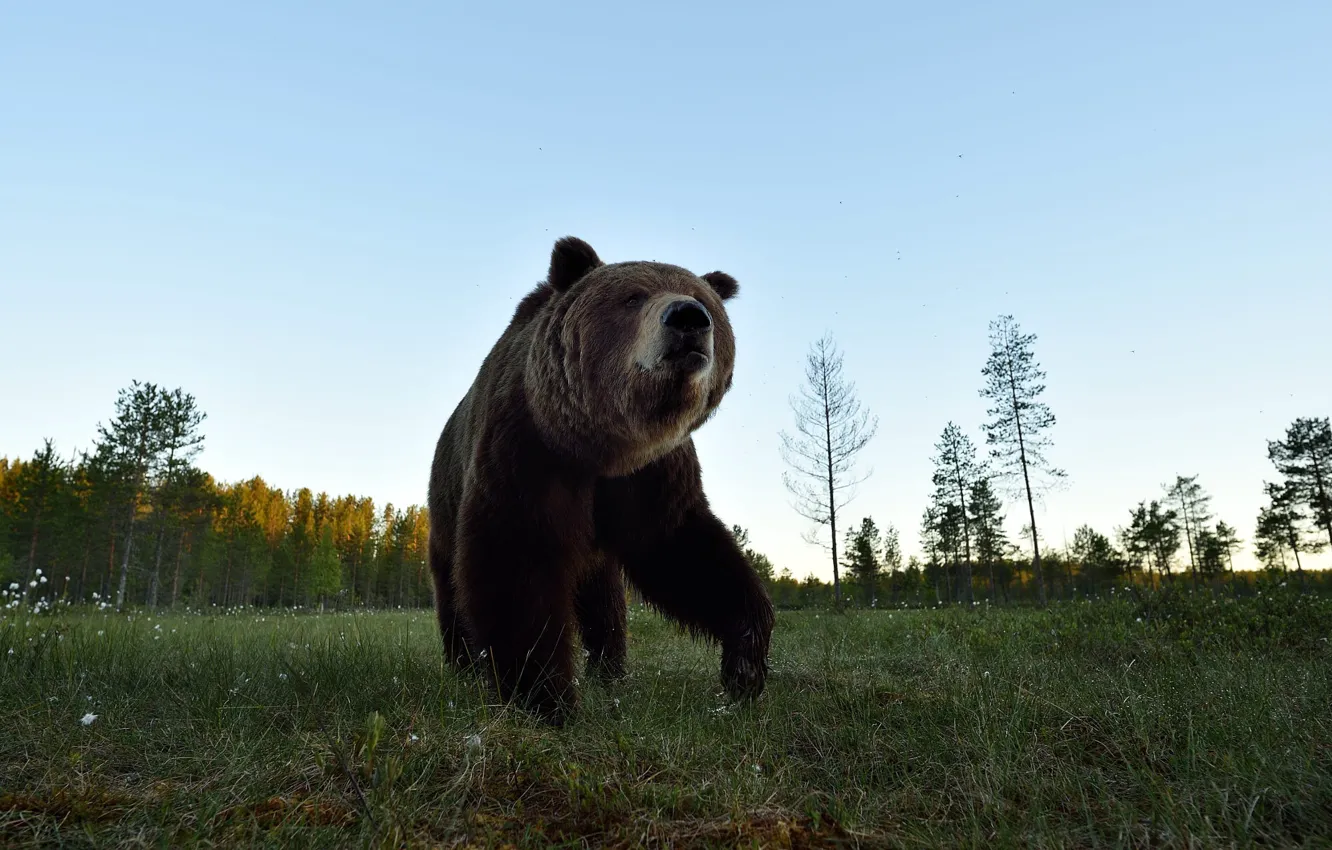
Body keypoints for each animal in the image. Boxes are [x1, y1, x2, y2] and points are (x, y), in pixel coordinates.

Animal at [427, 235, 775, 725]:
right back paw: (463, 665)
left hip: (598, 557)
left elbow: (687, 555)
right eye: (633, 297)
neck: (602, 451)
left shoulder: (651, 478)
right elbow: (516, 564)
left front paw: (744, 665)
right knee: (452, 588)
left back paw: (609, 669)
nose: (688, 318)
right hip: (445, 504)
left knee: (605, 604)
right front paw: (544, 697)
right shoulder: (528, 453)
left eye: (704, 300)